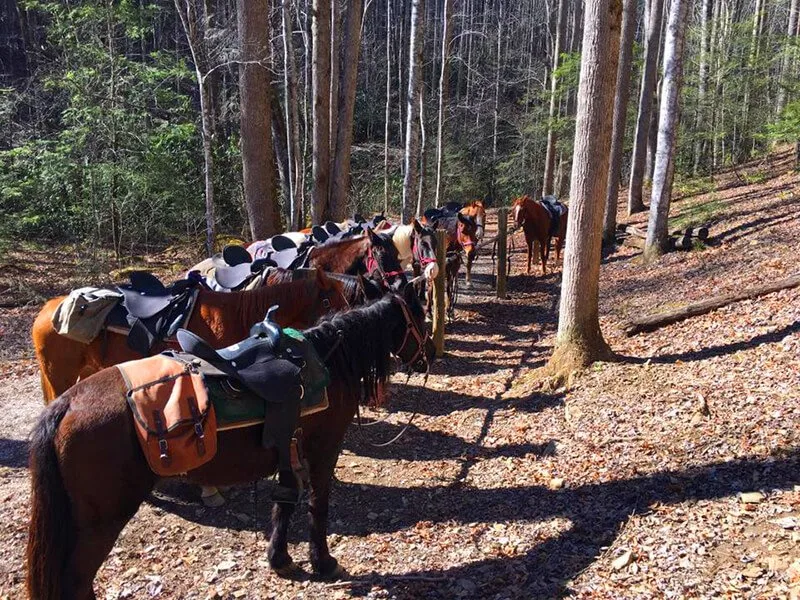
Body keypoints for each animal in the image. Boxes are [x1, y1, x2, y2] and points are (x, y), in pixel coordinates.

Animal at [28, 284, 434, 596]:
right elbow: (317, 506)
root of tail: (65, 405)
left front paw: (280, 559)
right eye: (419, 317)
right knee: (77, 581)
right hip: (99, 521)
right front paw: (324, 562)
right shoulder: (324, 449)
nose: (428, 357)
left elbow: (285, 503)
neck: (329, 362)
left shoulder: (290, 449)